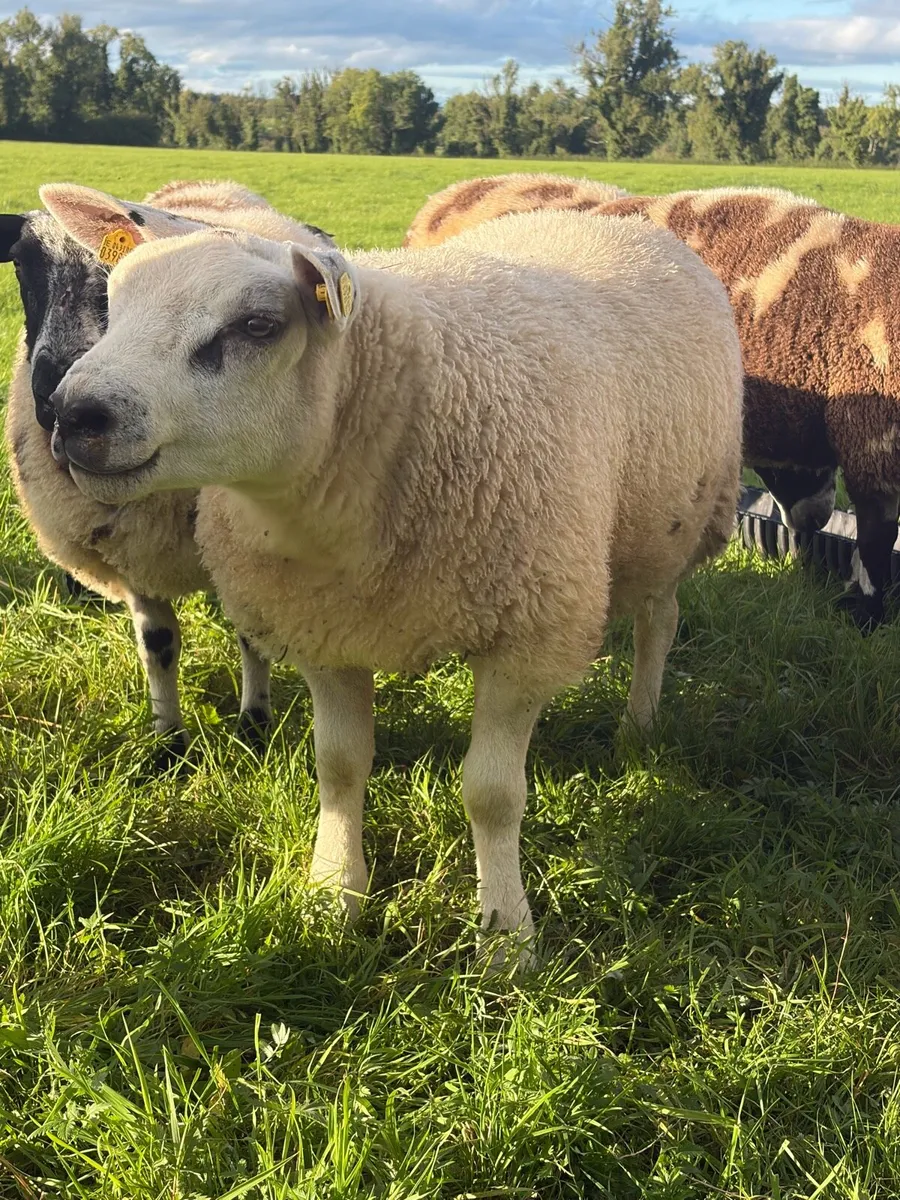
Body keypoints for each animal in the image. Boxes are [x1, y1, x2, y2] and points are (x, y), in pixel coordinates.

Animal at [1, 181, 334, 761]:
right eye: (22, 264)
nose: (53, 396)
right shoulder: (132, 551)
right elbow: (158, 645)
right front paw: (168, 743)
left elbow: (249, 634)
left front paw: (254, 727)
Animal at [39, 182, 743, 959]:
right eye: (115, 300)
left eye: (257, 324)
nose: (73, 413)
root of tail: (605, 218)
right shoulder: (326, 630)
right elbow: (339, 766)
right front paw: (333, 895)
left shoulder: (526, 637)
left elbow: (493, 796)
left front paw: (506, 935)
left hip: (674, 529)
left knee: (658, 623)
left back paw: (640, 724)